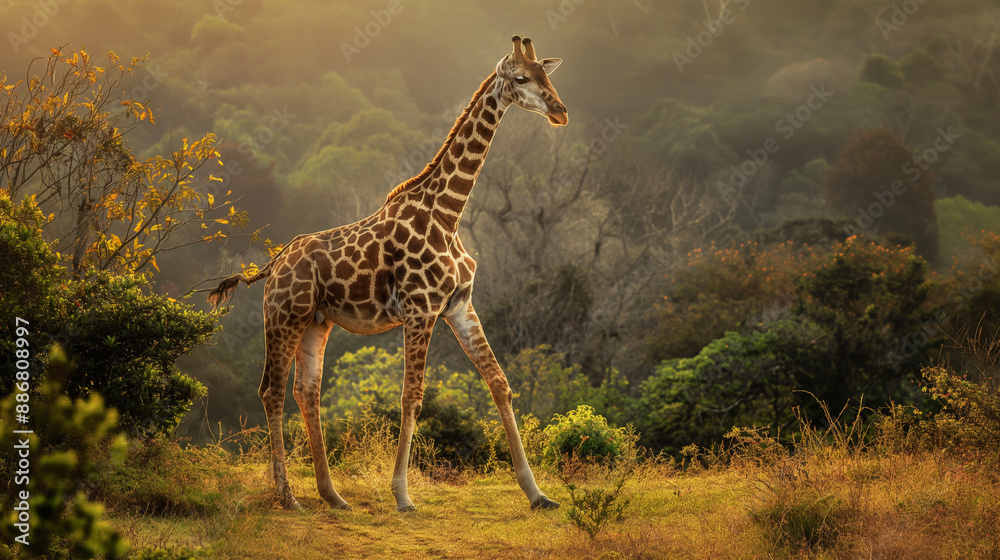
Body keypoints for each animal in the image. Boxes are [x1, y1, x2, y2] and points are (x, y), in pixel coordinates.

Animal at [208, 35, 567, 512]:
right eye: (523, 78)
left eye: (549, 75)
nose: (561, 111)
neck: (448, 213)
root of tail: (273, 264)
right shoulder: (420, 310)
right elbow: (411, 397)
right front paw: (402, 495)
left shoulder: (459, 307)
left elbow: (499, 383)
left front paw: (537, 493)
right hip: (283, 317)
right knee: (271, 389)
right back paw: (288, 497)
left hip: (316, 323)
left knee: (306, 391)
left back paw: (332, 495)